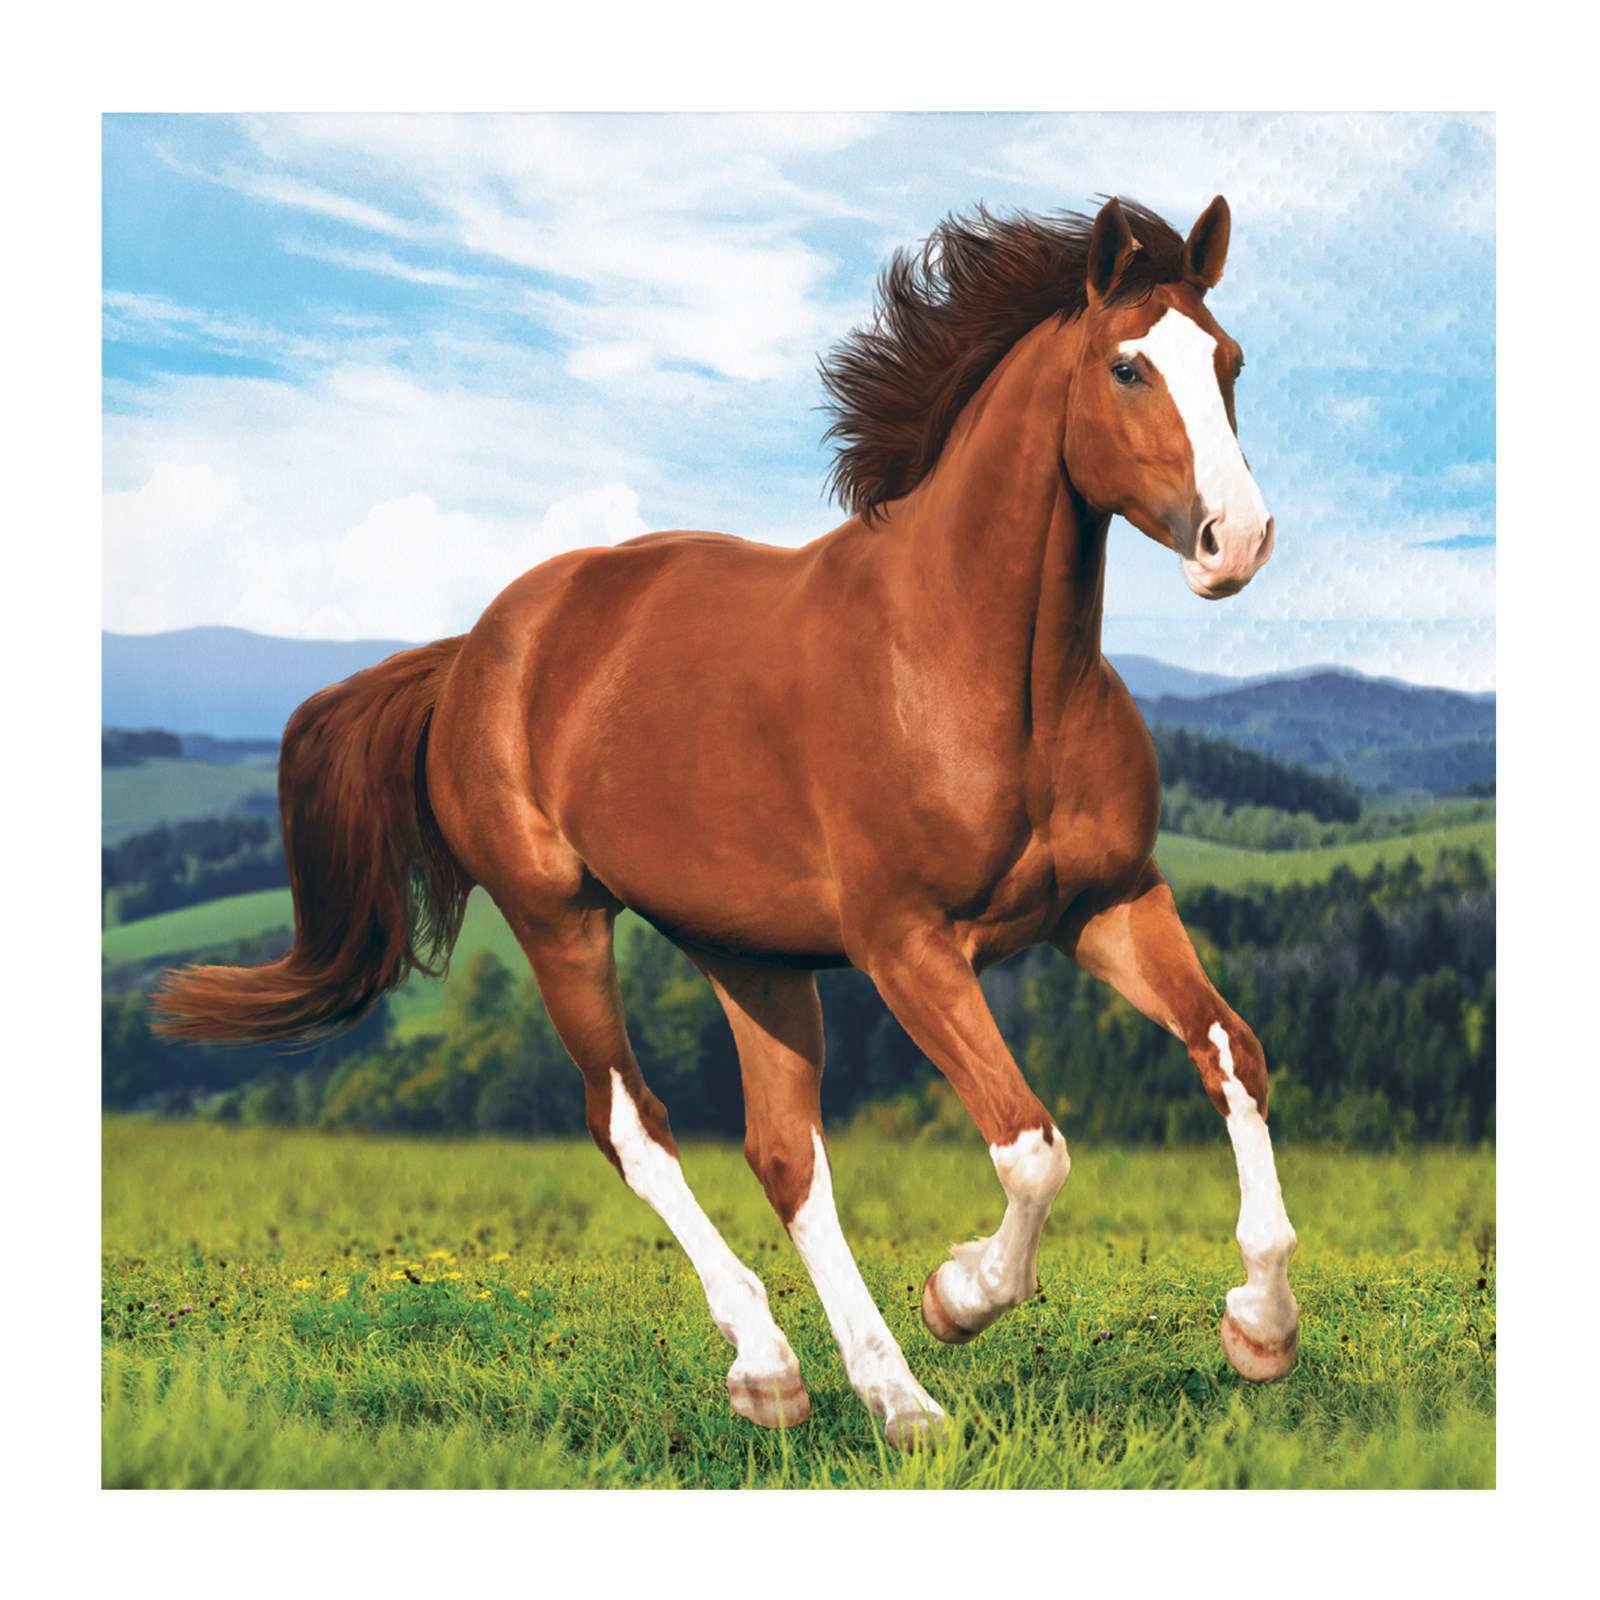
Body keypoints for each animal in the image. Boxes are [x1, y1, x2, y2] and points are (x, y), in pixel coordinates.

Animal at [155, 193, 1299, 1447]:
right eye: (1127, 366)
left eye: (1230, 361)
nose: (1235, 541)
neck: (970, 665)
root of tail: (474, 654)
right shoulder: (905, 945)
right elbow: (1031, 1146)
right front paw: (958, 1294)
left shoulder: (1109, 903)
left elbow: (1233, 1052)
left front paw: (1259, 1327)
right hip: (557, 918)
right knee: (634, 1126)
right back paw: (776, 1368)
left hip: (749, 952)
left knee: (783, 1154)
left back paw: (888, 1398)